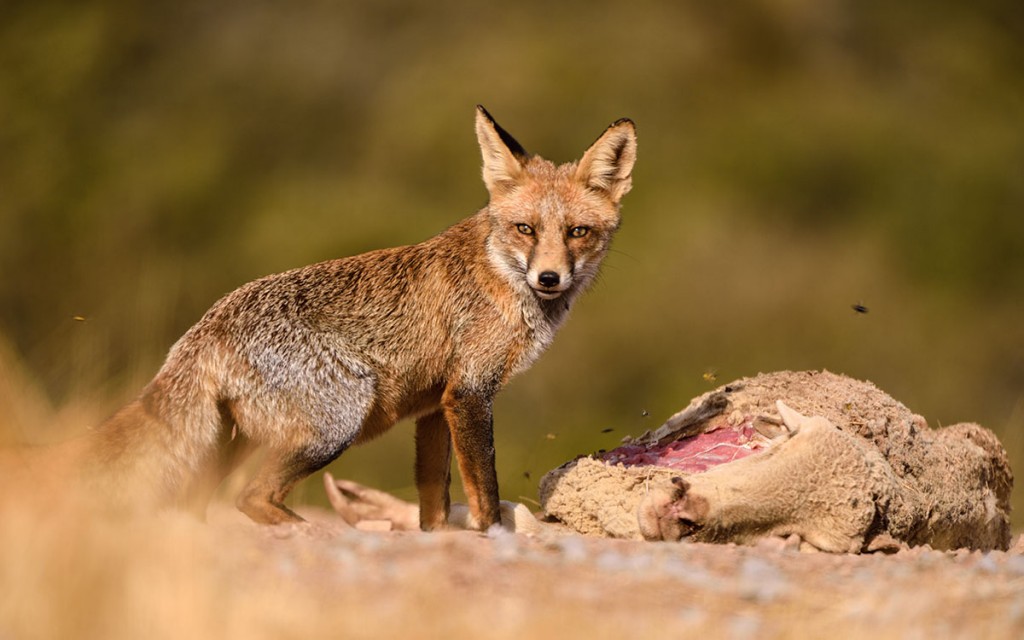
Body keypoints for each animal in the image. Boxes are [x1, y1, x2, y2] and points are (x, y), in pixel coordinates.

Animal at [88, 107, 634, 528]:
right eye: (525, 229)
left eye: (578, 232)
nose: (549, 278)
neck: (499, 274)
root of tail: (209, 322)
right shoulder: (470, 392)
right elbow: (485, 494)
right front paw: (493, 538)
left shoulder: (435, 406)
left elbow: (434, 504)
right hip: (336, 423)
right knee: (251, 498)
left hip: (234, 441)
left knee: (196, 503)